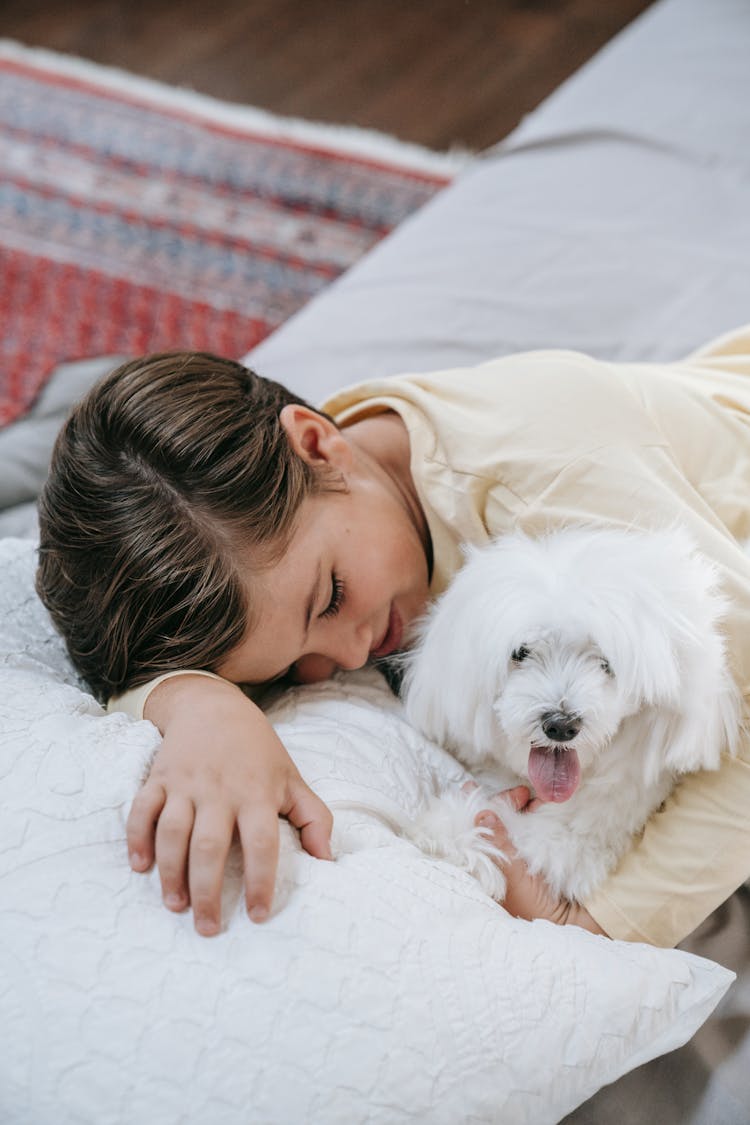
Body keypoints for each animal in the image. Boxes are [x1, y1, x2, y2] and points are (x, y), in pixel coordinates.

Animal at [402, 526, 742, 904]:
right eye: (521, 652)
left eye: (606, 664)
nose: (561, 725)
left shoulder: (578, 845)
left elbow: (512, 833)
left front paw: (451, 827)